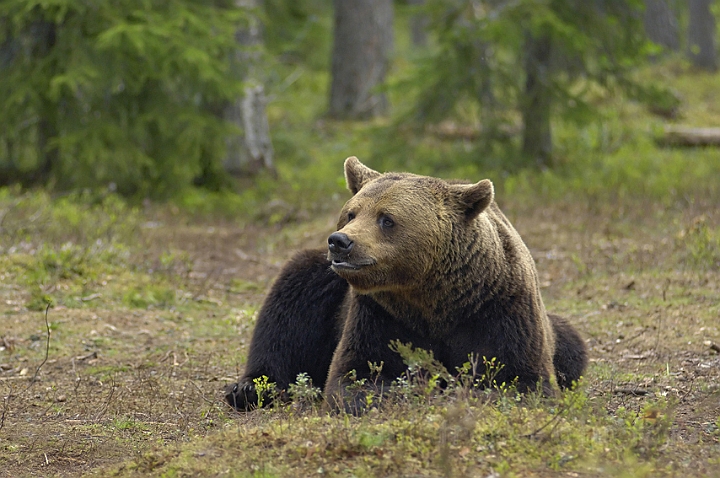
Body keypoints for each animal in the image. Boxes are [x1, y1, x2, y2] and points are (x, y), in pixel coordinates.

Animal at [228, 157, 588, 410]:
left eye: (387, 219)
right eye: (351, 213)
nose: (340, 241)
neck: (433, 295)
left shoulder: (499, 308)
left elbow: (521, 380)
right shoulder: (380, 314)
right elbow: (357, 375)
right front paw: (407, 390)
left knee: (572, 343)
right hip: (321, 283)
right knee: (287, 309)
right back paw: (248, 389)